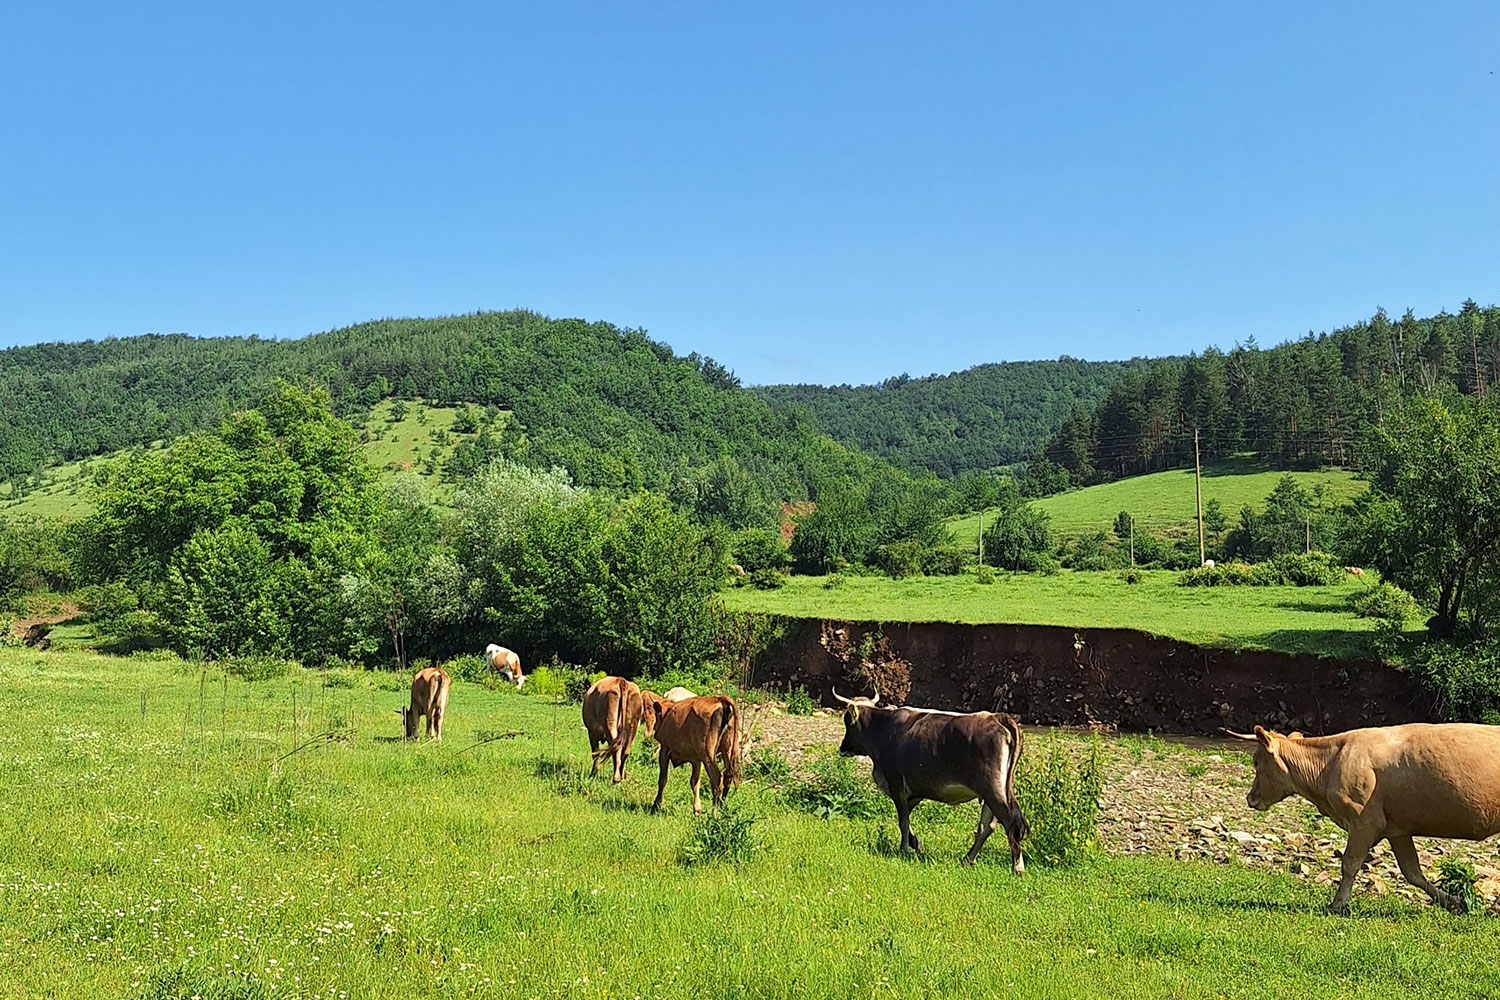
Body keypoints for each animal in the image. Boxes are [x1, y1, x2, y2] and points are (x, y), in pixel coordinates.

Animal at [834, 692, 1032, 869]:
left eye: (847, 721)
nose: (842, 748)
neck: (883, 730)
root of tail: (996, 717)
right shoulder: (915, 789)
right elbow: (907, 818)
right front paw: (915, 844)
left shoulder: (896, 783)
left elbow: (903, 821)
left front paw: (904, 849)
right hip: (993, 792)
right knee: (987, 827)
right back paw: (967, 860)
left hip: (992, 789)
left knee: (1010, 823)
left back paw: (1017, 867)